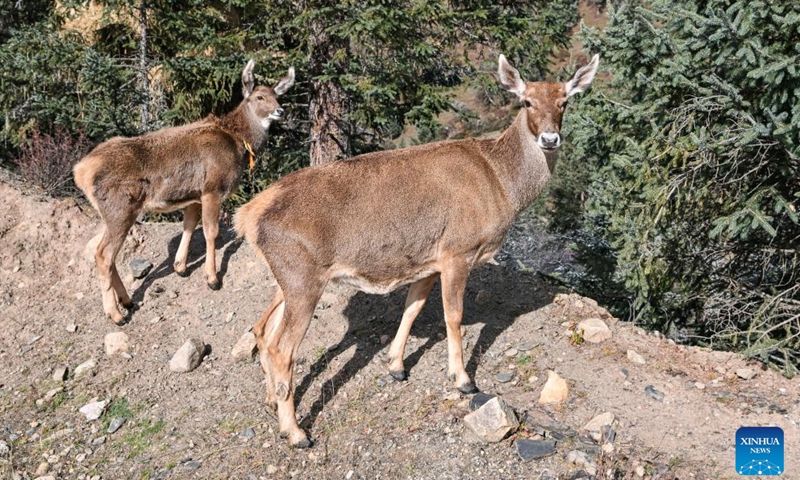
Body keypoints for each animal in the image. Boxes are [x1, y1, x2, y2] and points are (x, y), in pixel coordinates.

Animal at [73, 58, 294, 324]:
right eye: (260, 97)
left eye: (277, 95)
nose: (280, 111)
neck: (237, 141)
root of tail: (81, 172)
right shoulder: (212, 188)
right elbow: (211, 232)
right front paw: (212, 279)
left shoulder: (194, 195)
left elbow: (188, 225)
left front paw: (180, 267)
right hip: (120, 207)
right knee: (104, 255)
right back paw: (116, 314)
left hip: (113, 212)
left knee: (105, 253)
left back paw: (127, 301)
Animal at [234, 52, 596, 446]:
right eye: (526, 101)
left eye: (565, 101)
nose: (550, 138)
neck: (501, 184)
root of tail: (247, 216)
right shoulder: (458, 249)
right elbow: (453, 316)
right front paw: (463, 379)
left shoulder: (428, 260)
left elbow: (412, 308)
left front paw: (396, 365)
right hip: (303, 278)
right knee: (282, 348)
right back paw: (297, 432)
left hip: (287, 277)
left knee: (263, 331)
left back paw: (273, 402)